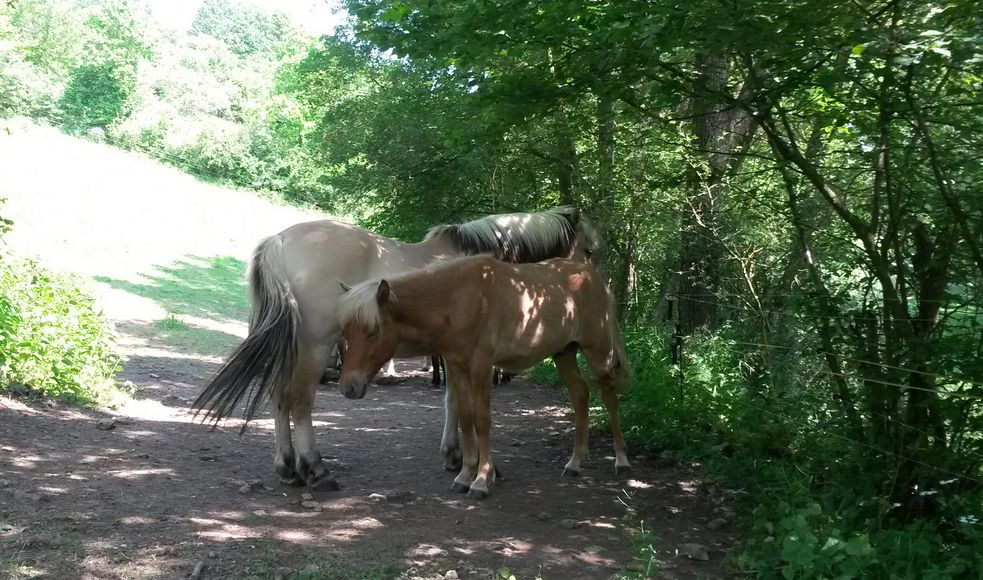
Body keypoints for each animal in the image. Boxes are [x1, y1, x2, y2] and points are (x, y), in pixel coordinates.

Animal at [188, 207, 596, 490]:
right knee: (299, 401)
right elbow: (457, 403)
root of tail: (279, 241)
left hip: (290, 347)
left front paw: (455, 456)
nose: (592, 281)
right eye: (591, 248)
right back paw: (315, 469)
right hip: (315, 346)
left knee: (278, 397)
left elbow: (455, 402)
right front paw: (462, 459)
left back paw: (287, 466)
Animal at [338, 256, 632, 500]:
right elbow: (466, 418)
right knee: (581, 395)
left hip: (598, 351)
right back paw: (575, 463)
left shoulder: (481, 365)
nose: (348, 387)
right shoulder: (456, 366)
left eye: (373, 331)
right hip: (565, 353)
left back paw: (621, 460)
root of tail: (592, 276)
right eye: (347, 332)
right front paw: (465, 475)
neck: (459, 299)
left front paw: (481, 480)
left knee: (609, 395)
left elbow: (481, 420)